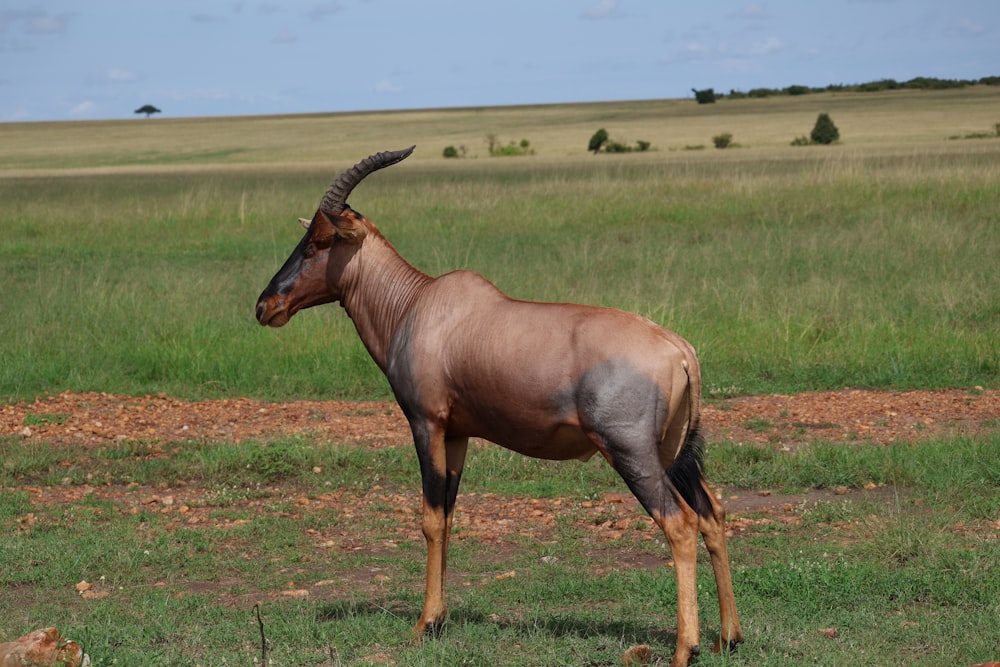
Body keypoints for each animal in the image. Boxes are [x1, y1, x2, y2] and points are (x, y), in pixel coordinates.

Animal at [256, 147, 744, 667]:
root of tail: (678, 348)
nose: (266, 306)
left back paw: (685, 648)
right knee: (712, 514)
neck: (419, 304)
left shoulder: (426, 423)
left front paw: (423, 625)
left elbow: (430, 517)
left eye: (319, 242)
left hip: (632, 453)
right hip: (674, 453)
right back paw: (728, 637)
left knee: (679, 523)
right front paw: (439, 620)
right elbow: (449, 516)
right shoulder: (458, 434)